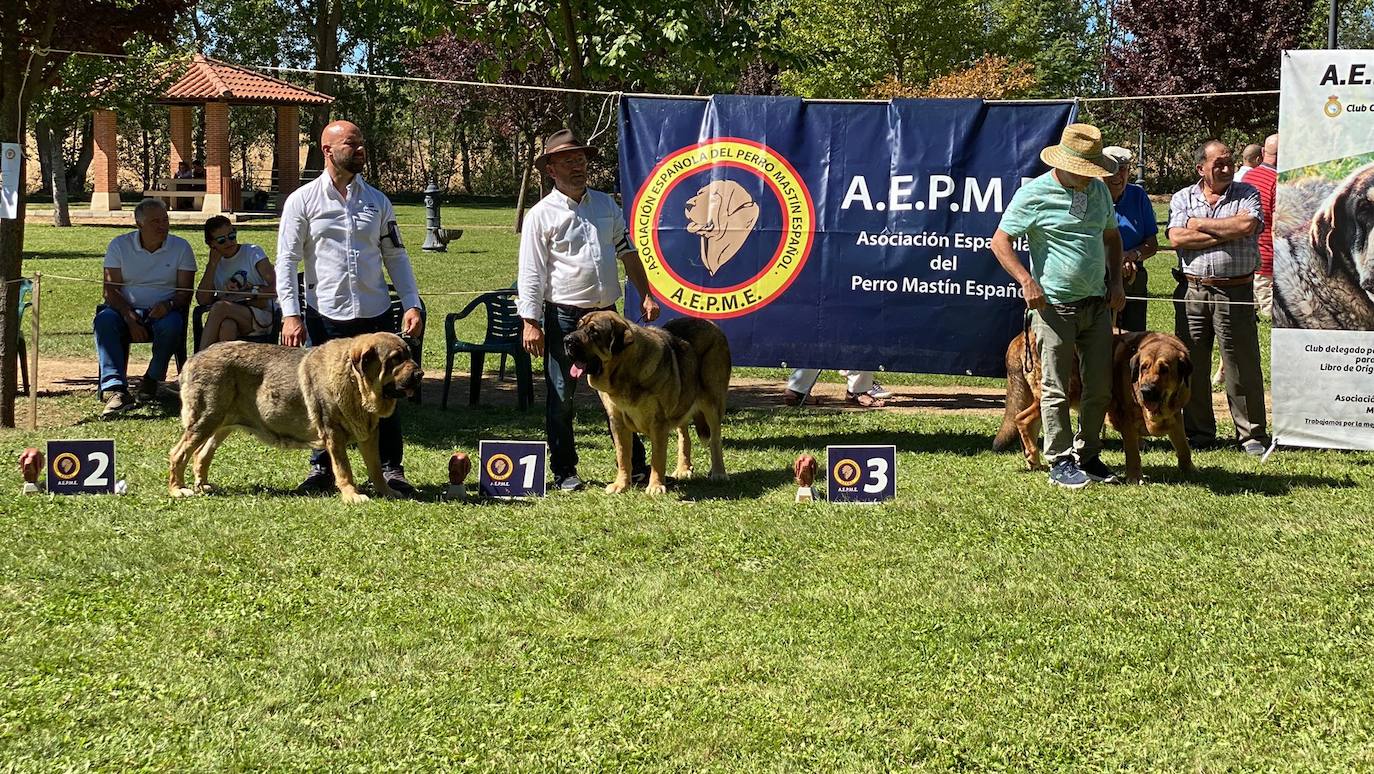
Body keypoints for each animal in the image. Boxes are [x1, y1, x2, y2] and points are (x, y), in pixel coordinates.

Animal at [169, 331, 420, 503]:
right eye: (395, 359)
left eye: (408, 355)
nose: (419, 373)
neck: (354, 382)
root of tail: (193, 358)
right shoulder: (334, 433)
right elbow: (343, 468)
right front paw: (352, 495)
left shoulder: (369, 434)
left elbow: (376, 469)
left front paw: (387, 491)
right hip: (205, 419)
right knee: (179, 453)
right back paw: (177, 489)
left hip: (221, 425)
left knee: (201, 454)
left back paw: (203, 485)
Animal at [560, 310, 730, 497]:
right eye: (578, 326)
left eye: (594, 332)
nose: (567, 340)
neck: (624, 373)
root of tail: (711, 324)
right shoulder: (617, 421)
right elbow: (623, 455)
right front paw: (621, 485)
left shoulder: (658, 422)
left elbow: (657, 457)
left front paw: (655, 486)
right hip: (682, 400)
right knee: (684, 436)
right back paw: (683, 469)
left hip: (712, 402)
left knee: (715, 439)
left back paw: (718, 473)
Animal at [994, 328, 1198, 483]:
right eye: (1143, 367)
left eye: (1165, 369)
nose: (1146, 390)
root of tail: (1021, 337)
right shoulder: (1126, 418)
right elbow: (1133, 452)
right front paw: (1135, 477)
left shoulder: (1176, 417)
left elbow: (1183, 446)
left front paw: (1189, 469)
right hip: (1061, 391)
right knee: (1021, 419)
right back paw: (1034, 458)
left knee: (1031, 424)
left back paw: (1033, 460)